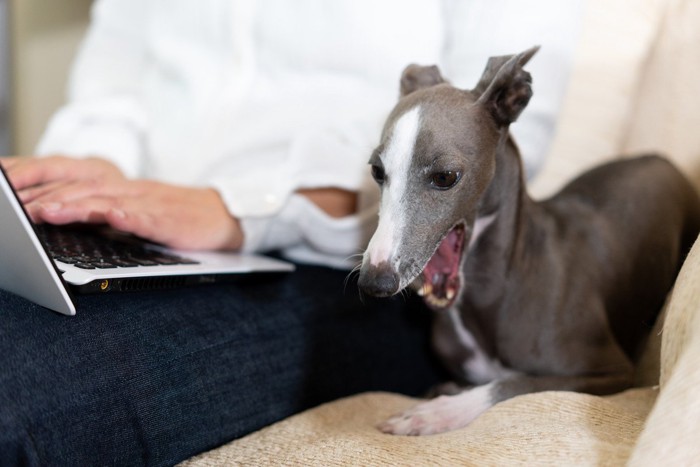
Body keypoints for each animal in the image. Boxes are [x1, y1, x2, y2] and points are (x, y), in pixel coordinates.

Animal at [358, 46, 700, 436]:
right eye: (376, 171)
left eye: (445, 177)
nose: (373, 281)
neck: (488, 296)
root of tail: (661, 158)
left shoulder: (611, 372)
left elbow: (514, 383)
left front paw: (436, 412)